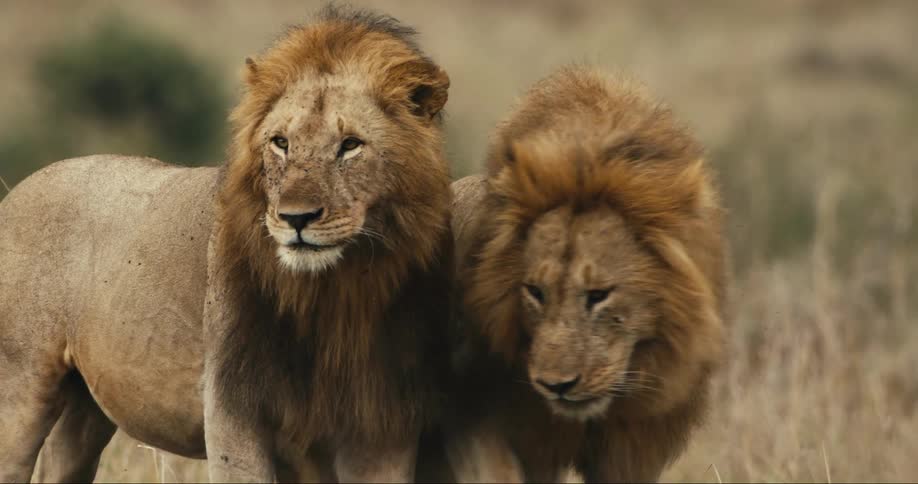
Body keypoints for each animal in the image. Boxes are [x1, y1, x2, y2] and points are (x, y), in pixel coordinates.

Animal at [0, 6, 452, 482]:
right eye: (281, 143)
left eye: (350, 146)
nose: (296, 218)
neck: (331, 294)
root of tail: (20, 188)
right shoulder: (232, 409)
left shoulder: (381, 425)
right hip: (19, 387)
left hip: (84, 411)